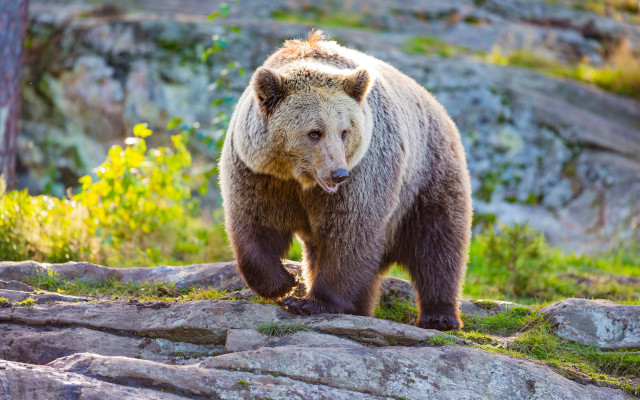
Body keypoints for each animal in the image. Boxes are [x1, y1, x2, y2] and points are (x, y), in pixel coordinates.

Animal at [219, 30, 472, 330]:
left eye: (344, 131)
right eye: (314, 132)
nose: (338, 173)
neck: (300, 179)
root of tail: (438, 107)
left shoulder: (363, 173)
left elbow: (349, 233)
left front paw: (311, 301)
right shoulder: (259, 174)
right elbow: (255, 222)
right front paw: (283, 283)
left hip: (427, 174)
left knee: (437, 241)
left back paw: (440, 316)